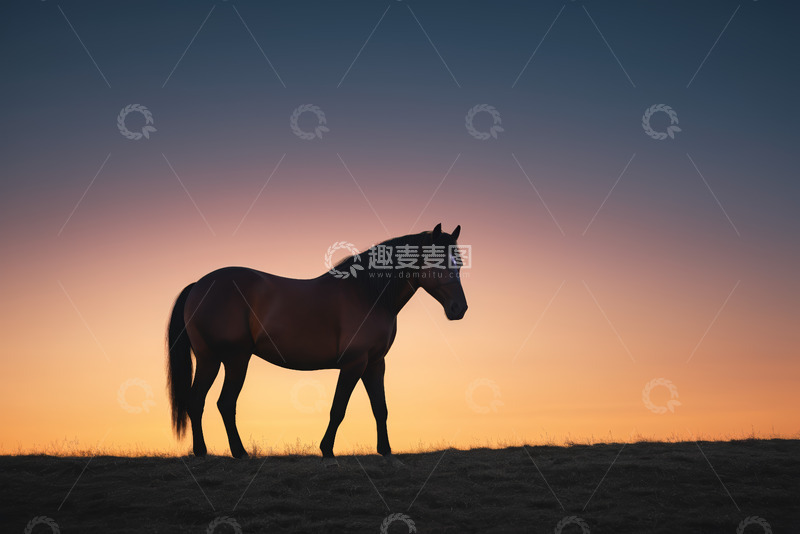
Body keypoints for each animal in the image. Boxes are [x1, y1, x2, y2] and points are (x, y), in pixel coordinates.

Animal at [166, 223, 467, 465]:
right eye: (437, 260)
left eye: (460, 263)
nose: (459, 309)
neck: (367, 295)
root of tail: (199, 285)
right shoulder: (354, 363)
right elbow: (338, 408)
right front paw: (327, 451)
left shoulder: (375, 363)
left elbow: (380, 408)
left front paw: (386, 450)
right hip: (235, 359)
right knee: (225, 402)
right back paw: (239, 452)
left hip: (209, 360)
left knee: (196, 400)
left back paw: (202, 451)